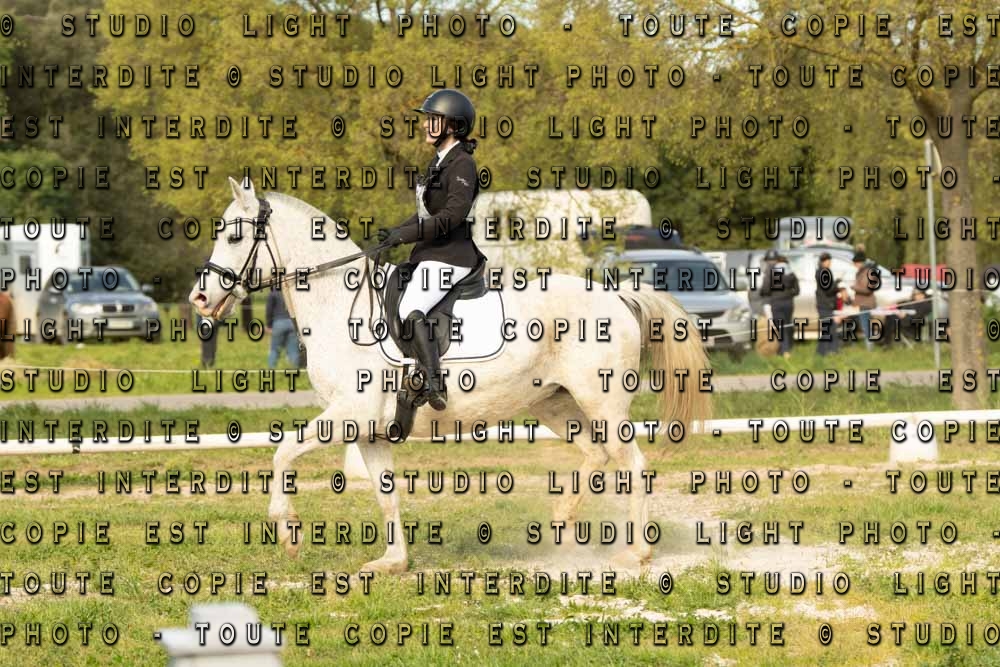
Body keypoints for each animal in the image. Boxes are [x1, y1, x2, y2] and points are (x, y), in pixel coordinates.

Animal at [189, 177, 711, 574]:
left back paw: (636, 552)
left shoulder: (350, 412)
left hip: (601, 401)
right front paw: (393, 563)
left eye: (234, 237)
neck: (340, 305)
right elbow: (385, 494)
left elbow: (282, 454)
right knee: (595, 454)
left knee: (632, 463)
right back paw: (562, 521)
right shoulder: (368, 429)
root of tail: (617, 294)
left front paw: (289, 532)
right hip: (553, 401)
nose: (200, 298)